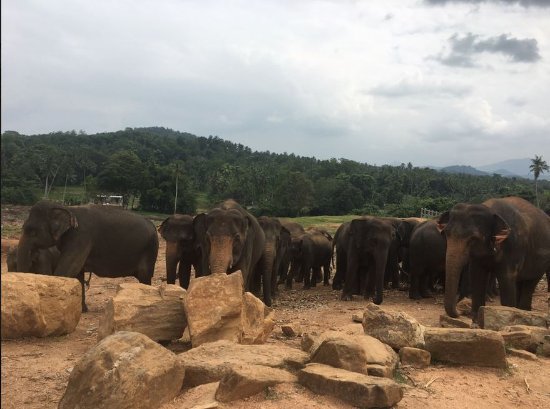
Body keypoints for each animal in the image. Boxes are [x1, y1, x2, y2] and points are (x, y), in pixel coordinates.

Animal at [16, 199, 160, 310]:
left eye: (32, 231)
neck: (67, 208)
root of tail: (154, 226)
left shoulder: (81, 236)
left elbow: (67, 269)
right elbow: (77, 273)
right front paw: (81, 310)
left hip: (150, 249)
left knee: (145, 276)